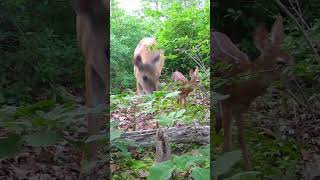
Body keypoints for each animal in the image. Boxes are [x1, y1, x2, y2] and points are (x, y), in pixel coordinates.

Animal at [211, 16, 294, 169]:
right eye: (280, 62)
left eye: (292, 59)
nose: (294, 78)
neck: (243, 88)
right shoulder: (228, 104)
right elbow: (227, 142)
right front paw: (224, 167)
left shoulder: (240, 108)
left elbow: (241, 138)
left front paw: (248, 168)